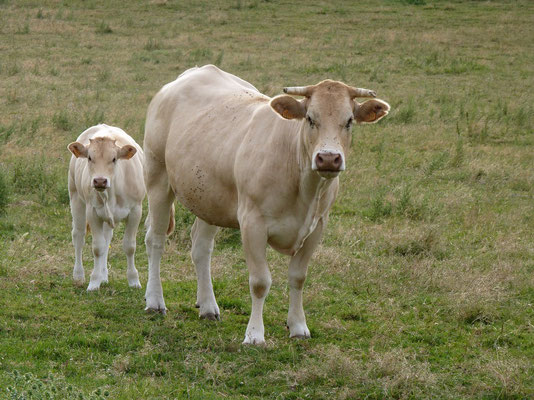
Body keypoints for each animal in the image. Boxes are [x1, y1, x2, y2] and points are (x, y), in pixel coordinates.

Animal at [67, 124, 147, 290]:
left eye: (114, 159)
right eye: (90, 158)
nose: (99, 181)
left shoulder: (136, 211)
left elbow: (129, 246)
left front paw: (134, 281)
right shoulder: (92, 212)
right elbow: (98, 247)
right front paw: (94, 282)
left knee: (107, 238)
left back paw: (104, 276)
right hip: (75, 196)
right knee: (78, 236)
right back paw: (79, 275)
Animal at [144, 65, 392, 344]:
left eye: (349, 121)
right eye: (310, 118)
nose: (328, 158)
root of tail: (194, 72)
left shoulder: (318, 226)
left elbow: (298, 277)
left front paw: (298, 326)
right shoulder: (252, 223)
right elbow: (260, 281)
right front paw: (254, 335)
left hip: (208, 196)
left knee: (201, 248)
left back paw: (207, 306)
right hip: (158, 177)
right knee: (155, 240)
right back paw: (155, 301)